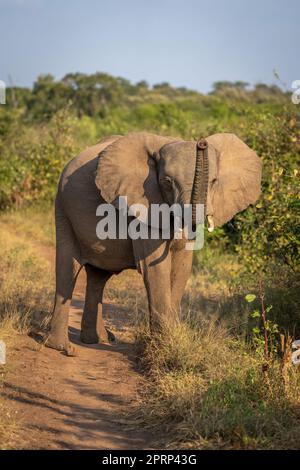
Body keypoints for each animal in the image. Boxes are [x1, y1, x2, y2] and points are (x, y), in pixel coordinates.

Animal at [45, 130, 262, 354]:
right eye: (167, 181)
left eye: (214, 181)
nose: (201, 143)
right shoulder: (143, 205)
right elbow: (155, 267)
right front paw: (164, 345)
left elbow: (182, 266)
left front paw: (172, 340)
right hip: (63, 209)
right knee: (68, 269)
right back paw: (63, 348)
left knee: (98, 276)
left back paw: (98, 340)